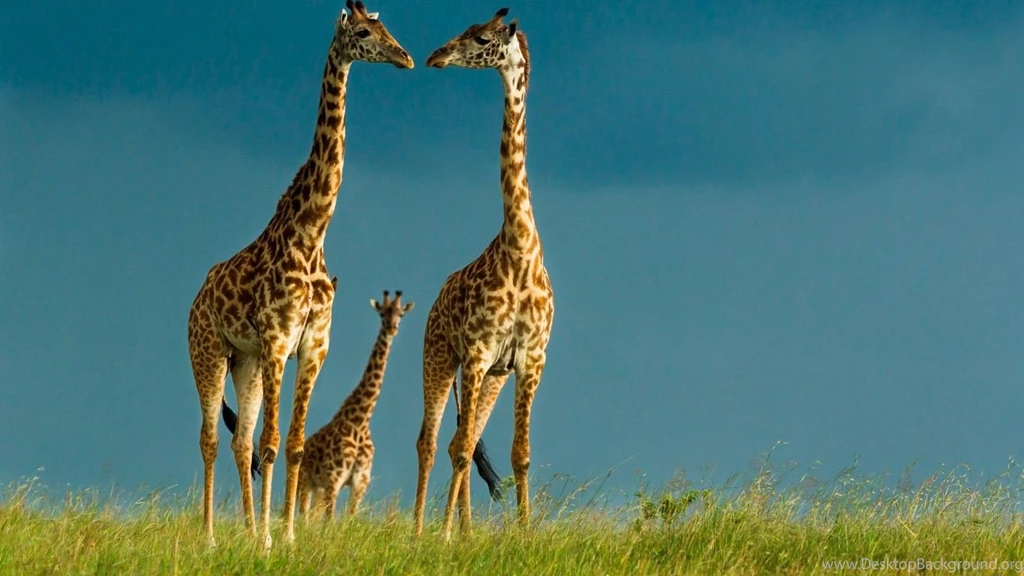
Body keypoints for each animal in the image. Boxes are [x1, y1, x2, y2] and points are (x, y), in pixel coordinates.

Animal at [295, 290, 414, 521]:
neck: (360, 421)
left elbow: (349, 518)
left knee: (312, 517)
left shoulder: (359, 482)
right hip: (306, 481)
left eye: (401, 314)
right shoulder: (334, 478)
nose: (392, 328)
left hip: (318, 488)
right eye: (382, 313)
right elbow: (330, 521)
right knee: (304, 515)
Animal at [415, 8, 555, 539]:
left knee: (466, 438)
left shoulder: (530, 359)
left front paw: (525, 533)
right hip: (439, 357)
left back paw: (464, 530)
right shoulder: (474, 353)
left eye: (479, 37)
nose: (435, 56)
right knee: (434, 442)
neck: (520, 251)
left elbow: (521, 454)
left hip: (492, 374)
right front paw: (447, 536)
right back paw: (425, 530)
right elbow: (456, 451)